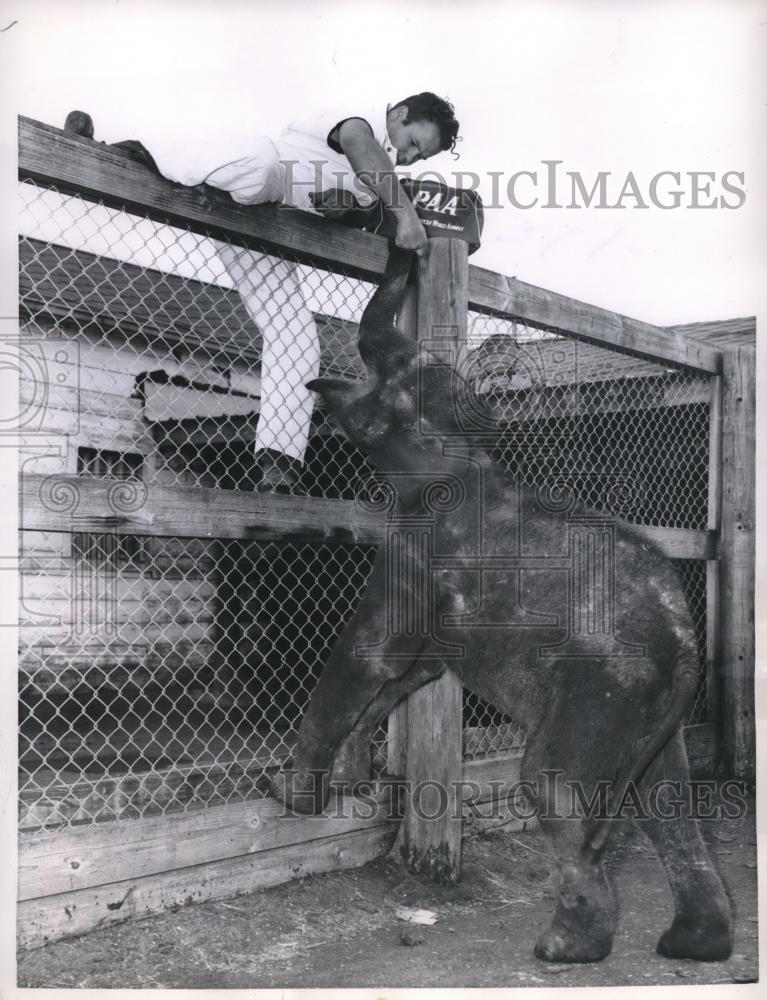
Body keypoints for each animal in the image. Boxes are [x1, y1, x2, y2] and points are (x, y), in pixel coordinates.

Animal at [270, 242, 732, 960]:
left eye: (390, 373)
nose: (403, 244)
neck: (463, 459)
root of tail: (685, 644)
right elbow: (410, 675)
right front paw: (347, 783)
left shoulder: (413, 555)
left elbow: (371, 657)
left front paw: (291, 795)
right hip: (656, 712)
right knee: (669, 805)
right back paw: (691, 944)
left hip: (602, 691)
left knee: (553, 784)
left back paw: (563, 949)